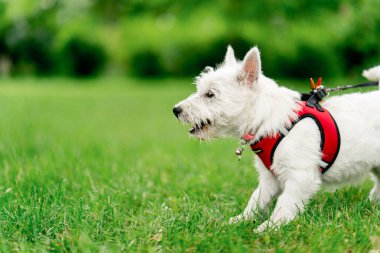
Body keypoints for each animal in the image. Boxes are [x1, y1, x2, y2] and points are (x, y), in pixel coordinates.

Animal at [173, 46, 380, 232]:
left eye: (210, 94)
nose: (176, 110)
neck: (267, 118)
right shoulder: (269, 178)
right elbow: (256, 199)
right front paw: (241, 220)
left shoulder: (300, 176)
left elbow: (284, 203)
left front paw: (270, 227)